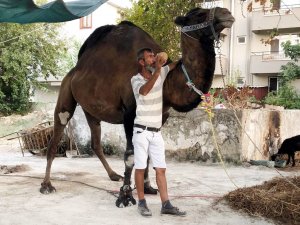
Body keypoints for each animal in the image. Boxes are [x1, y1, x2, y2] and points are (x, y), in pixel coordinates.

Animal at [40, 6, 234, 207]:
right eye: (199, 14)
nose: (226, 13)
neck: (166, 84)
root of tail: (74, 71)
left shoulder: (161, 116)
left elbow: (147, 154)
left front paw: (148, 187)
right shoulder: (129, 114)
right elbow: (130, 155)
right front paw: (125, 195)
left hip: (90, 109)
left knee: (95, 142)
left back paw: (113, 175)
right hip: (65, 94)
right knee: (56, 135)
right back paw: (46, 185)